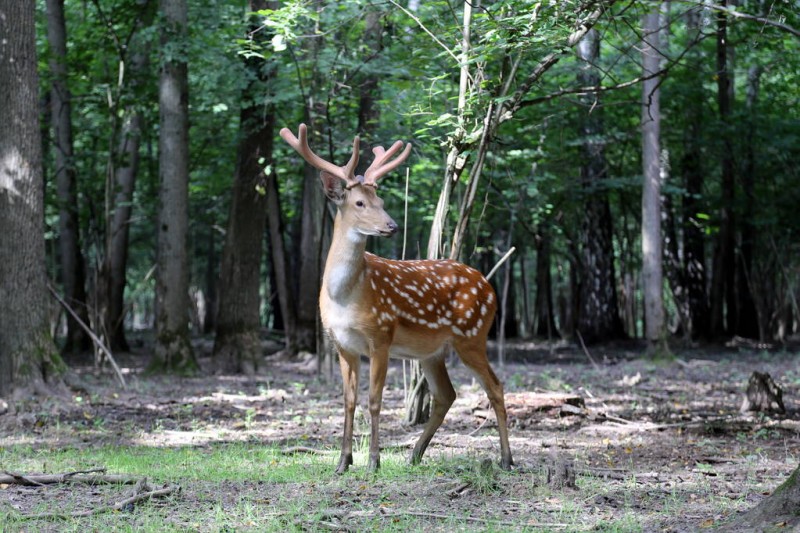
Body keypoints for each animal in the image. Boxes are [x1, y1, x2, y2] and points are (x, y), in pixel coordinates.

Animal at [282, 122, 512, 472]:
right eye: (359, 203)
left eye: (380, 200)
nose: (391, 225)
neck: (345, 297)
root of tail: (490, 288)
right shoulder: (341, 344)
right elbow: (348, 401)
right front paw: (343, 462)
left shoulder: (381, 335)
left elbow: (374, 400)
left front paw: (373, 462)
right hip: (432, 351)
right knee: (446, 394)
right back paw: (414, 455)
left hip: (472, 334)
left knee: (495, 386)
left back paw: (507, 458)